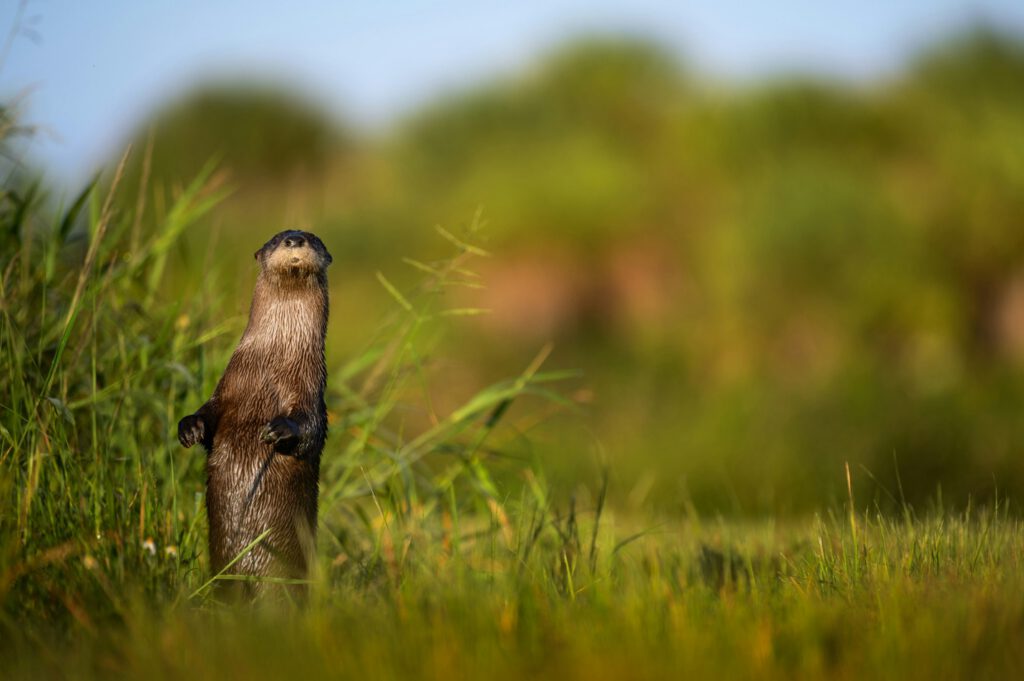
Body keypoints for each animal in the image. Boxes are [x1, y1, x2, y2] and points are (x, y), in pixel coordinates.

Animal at [177, 229, 331, 597]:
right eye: (277, 239)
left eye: (314, 239)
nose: (295, 239)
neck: (273, 361)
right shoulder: (229, 386)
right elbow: (210, 412)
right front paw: (189, 428)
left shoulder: (309, 389)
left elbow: (310, 429)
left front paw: (279, 430)